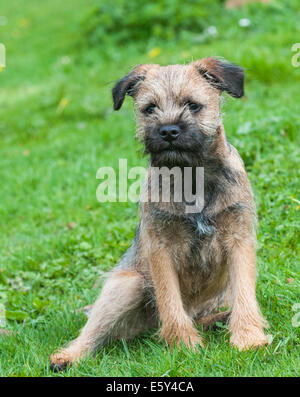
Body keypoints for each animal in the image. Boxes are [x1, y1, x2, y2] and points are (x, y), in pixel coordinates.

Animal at [50, 57, 268, 370]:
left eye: (193, 105)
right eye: (149, 108)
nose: (168, 131)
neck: (192, 178)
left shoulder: (239, 240)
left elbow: (245, 294)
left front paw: (249, 338)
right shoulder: (160, 249)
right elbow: (169, 300)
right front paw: (184, 345)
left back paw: (217, 320)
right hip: (127, 284)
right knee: (92, 332)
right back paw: (67, 357)